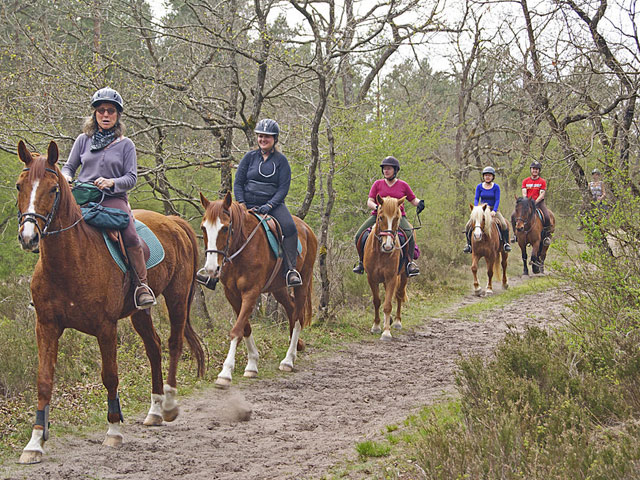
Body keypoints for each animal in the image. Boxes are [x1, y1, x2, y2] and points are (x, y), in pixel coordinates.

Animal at [14, 141, 205, 464]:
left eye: (53, 189)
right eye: (19, 185)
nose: (28, 237)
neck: (70, 261)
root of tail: (173, 222)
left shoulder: (105, 328)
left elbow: (110, 376)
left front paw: (114, 430)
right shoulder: (46, 327)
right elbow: (44, 381)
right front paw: (35, 442)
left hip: (177, 297)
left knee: (174, 343)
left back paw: (168, 405)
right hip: (140, 312)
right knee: (154, 347)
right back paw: (154, 411)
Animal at [199, 192, 317, 387]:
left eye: (225, 228)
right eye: (203, 228)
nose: (211, 269)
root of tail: (308, 229)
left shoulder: (251, 292)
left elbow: (237, 330)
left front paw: (225, 372)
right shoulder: (232, 294)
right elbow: (245, 328)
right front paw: (252, 364)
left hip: (303, 282)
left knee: (297, 317)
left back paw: (288, 360)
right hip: (278, 289)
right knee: (292, 309)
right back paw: (297, 347)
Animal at [363, 194, 409, 340]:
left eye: (397, 218)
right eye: (381, 217)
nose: (388, 246)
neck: (380, 254)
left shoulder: (391, 278)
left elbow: (388, 305)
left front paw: (387, 332)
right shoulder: (371, 278)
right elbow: (377, 301)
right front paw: (376, 326)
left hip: (403, 276)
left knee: (399, 295)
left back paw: (397, 321)